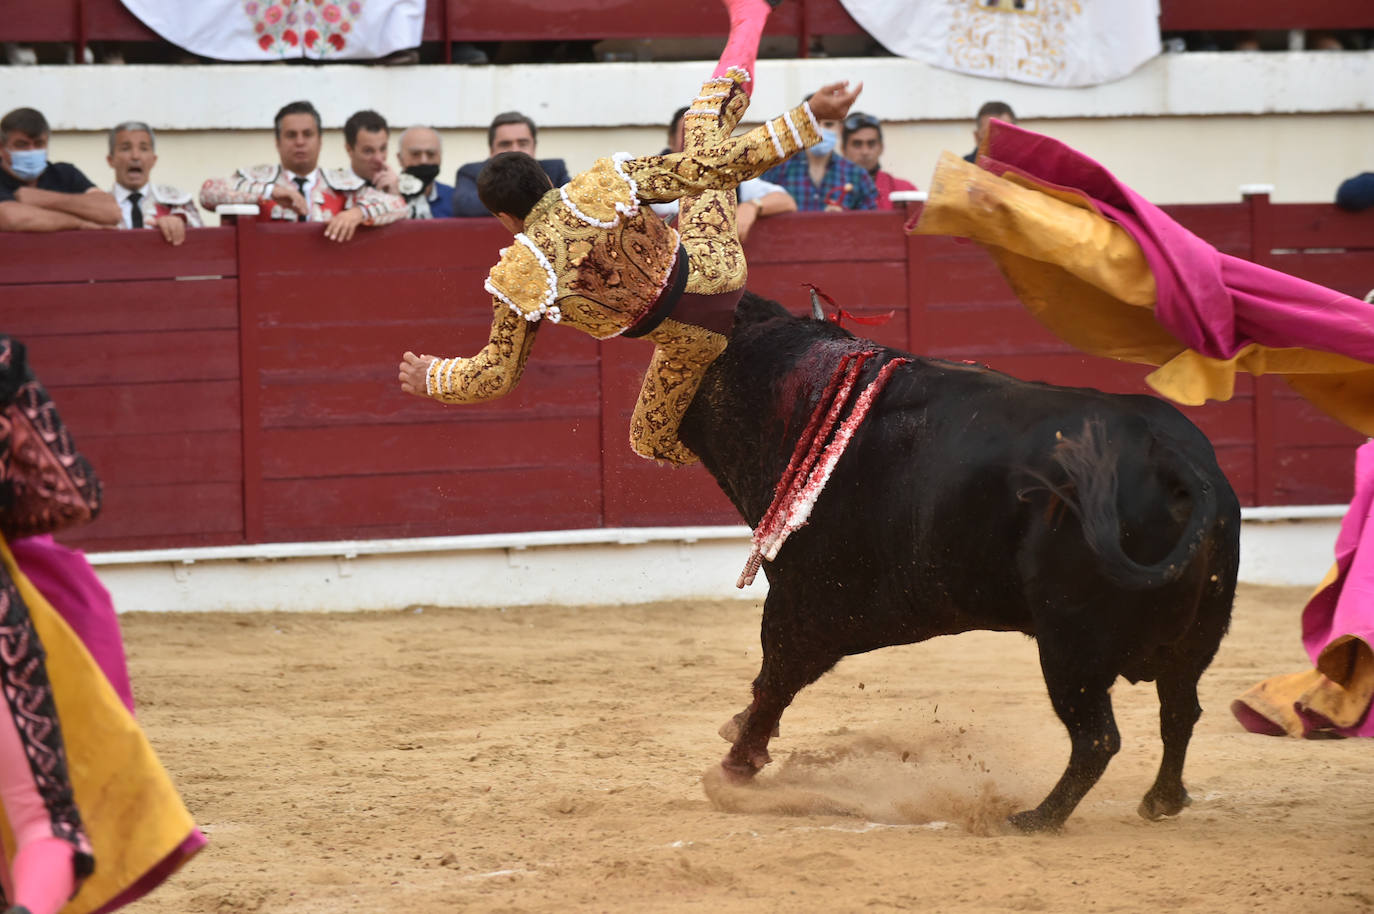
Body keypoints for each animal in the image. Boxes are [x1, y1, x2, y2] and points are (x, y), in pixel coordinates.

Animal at [678, 290, 1247, 824]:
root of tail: (1170, 457)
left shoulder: (805, 601)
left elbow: (776, 678)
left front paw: (734, 770)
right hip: (1195, 638)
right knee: (1180, 711)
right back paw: (1161, 800)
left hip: (1070, 646)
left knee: (1098, 738)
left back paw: (1034, 819)